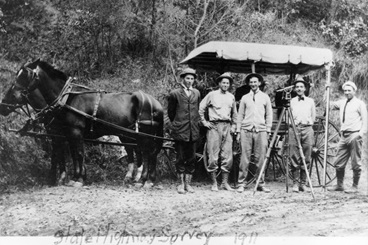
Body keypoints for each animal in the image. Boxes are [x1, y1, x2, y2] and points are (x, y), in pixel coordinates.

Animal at [0, 59, 164, 188]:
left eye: (26, 75)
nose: (3, 105)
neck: (66, 99)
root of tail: (156, 103)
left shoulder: (73, 132)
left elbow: (76, 154)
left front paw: (76, 179)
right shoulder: (67, 134)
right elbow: (73, 154)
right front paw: (73, 178)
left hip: (143, 134)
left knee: (147, 153)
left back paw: (143, 180)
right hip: (131, 134)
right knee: (143, 153)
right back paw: (143, 179)